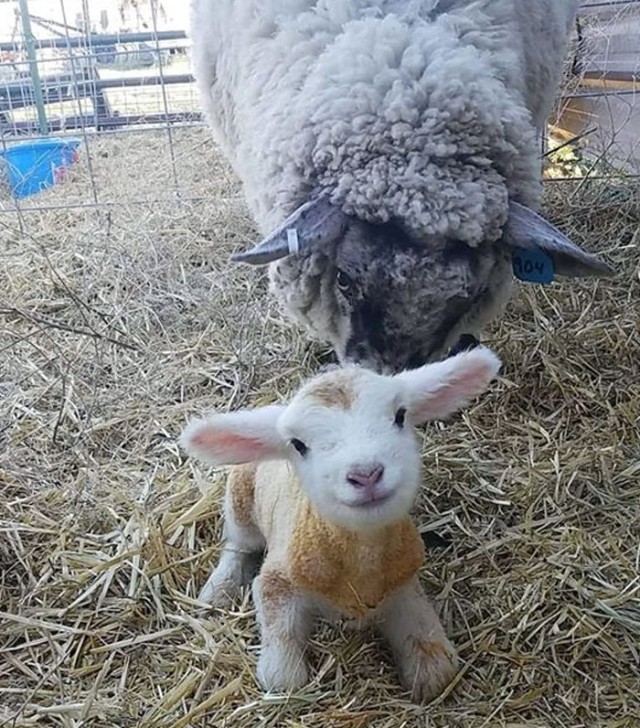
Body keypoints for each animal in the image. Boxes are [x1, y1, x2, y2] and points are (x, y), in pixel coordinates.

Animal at [179, 346, 500, 700]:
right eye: (298, 444)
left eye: (400, 415)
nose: (366, 474)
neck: (360, 563)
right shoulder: (277, 581)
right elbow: (283, 677)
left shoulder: (402, 582)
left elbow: (437, 665)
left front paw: (426, 672)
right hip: (240, 500)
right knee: (238, 545)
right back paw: (218, 590)